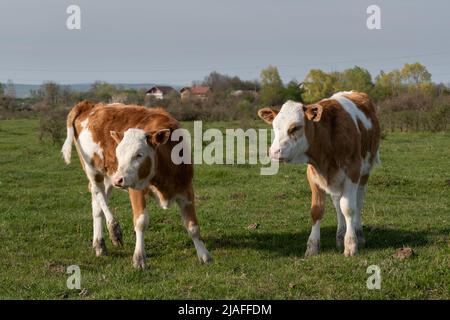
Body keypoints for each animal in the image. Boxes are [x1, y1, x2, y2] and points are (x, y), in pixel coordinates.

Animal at [60, 102, 213, 268]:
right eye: (118, 152)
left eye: (139, 154)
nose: (119, 180)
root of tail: (90, 105)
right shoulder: (135, 189)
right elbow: (141, 222)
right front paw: (139, 257)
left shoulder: (186, 190)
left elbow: (193, 226)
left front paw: (204, 255)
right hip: (93, 170)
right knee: (98, 194)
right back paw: (114, 229)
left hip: (109, 177)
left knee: (97, 207)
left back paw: (100, 245)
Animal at [258, 91, 382, 256]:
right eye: (275, 127)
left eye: (295, 128)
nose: (274, 152)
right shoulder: (313, 175)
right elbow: (317, 211)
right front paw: (312, 247)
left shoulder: (353, 171)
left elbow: (348, 208)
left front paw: (351, 244)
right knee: (337, 202)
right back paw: (340, 235)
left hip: (364, 172)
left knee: (358, 201)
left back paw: (358, 235)